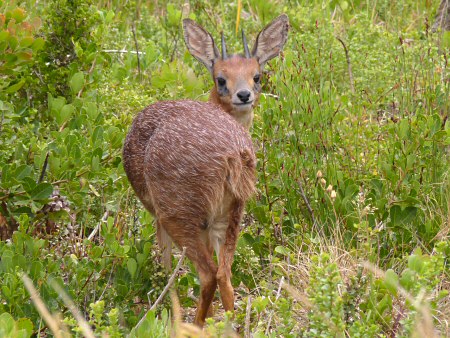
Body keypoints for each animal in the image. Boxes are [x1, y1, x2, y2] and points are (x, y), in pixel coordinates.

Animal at [123, 15, 290, 324]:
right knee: (224, 274)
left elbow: (166, 265)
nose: (244, 95)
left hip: (179, 216)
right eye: (221, 78)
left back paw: (196, 324)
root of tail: (233, 154)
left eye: (256, 76)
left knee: (206, 274)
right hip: (231, 213)